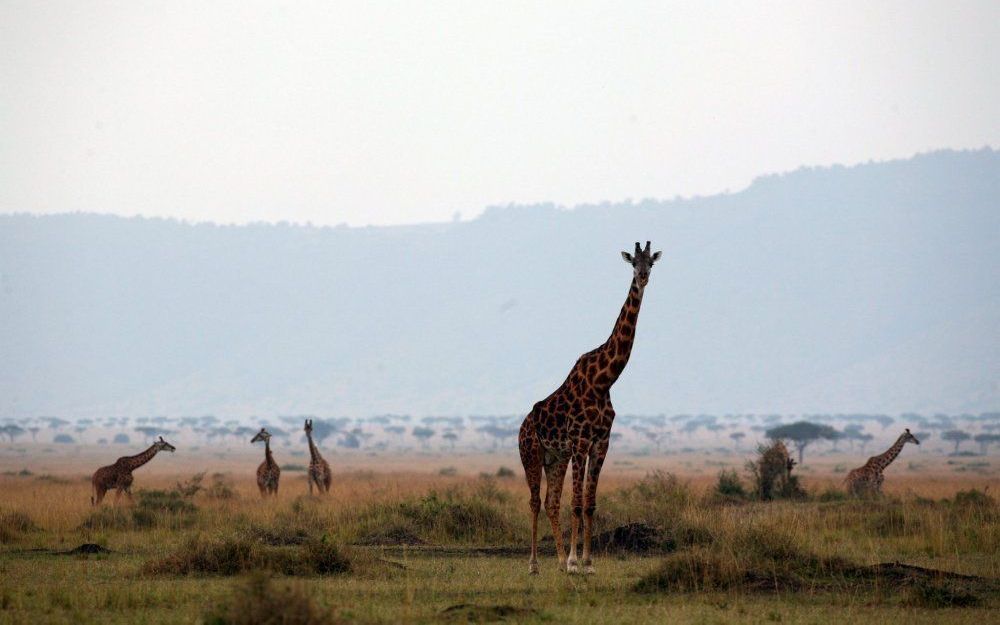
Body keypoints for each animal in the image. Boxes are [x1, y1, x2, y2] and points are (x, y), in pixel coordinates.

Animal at [520, 240, 660, 576]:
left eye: (651, 261)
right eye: (632, 262)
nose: (643, 277)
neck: (603, 381)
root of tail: (521, 426)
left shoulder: (601, 442)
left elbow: (590, 503)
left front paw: (586, 562)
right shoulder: (580, 442)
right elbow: (577, 503)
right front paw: (575, 562)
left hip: (555, 458)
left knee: (550, 502)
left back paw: (557, 561)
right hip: (531, 454)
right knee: (534, 501)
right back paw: (534, 564)